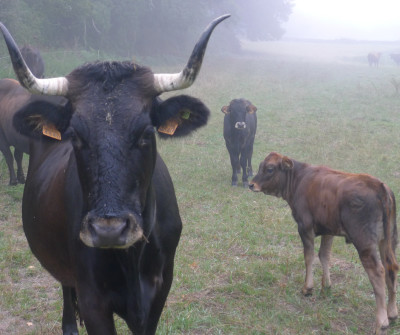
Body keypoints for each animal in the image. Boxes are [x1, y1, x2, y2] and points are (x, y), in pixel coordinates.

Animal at [0, 13, 230, 335]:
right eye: (75, 136)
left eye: (146, 133)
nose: (108, 229)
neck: (131, 258)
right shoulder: (93, 300)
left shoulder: (159, 292)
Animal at [250, 153, 396, 335]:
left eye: (269, 168)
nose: (251, 184)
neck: (299, 179)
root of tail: (378, 185)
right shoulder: (328, 229)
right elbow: (324, 255)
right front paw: (326, 285)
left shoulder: (304, 226)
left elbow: (309, 256)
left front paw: (307, 288)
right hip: (388, 241)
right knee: (391, 267)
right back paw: (392, 313)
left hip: (365, 243)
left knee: (378, 272)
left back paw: (381, 322)